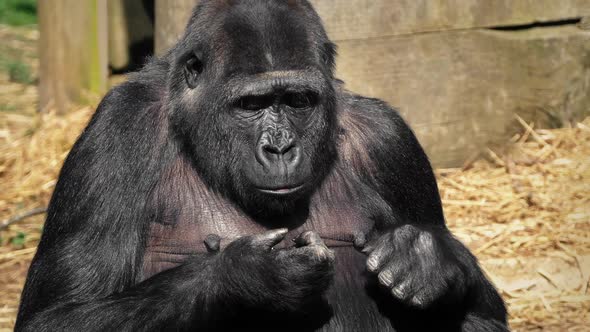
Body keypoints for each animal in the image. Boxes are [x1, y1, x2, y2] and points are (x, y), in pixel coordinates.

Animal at [17, 1, 508, 330]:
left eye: (297, 101)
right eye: (251, 105)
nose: (280, 148)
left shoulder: (390, 142)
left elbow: (484, 315)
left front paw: (428, 259)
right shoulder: (116, 132)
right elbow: (57, 315)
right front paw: (250, 277)